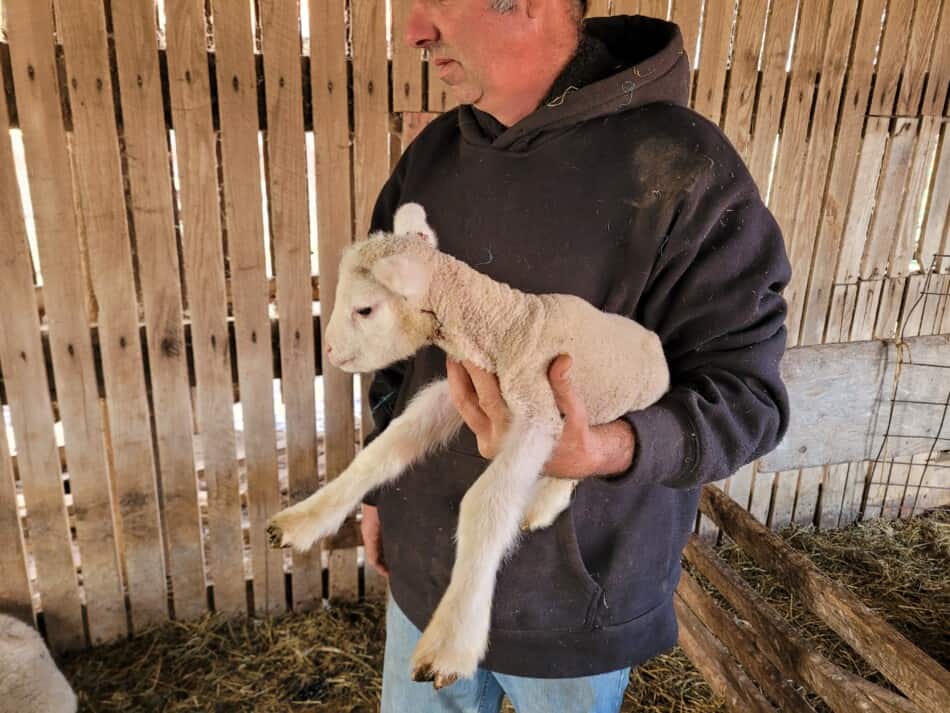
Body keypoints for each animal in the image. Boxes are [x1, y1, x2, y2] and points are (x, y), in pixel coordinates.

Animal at [268, 203, 668, 688]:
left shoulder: (538, 414)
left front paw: (451, 643)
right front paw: (302, 520)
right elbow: (383, 449)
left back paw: (543, 504)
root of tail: (654, 342)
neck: (510, 327)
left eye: (364, 308)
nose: (328, 350)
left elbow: (486, 503)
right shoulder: (459, 392)